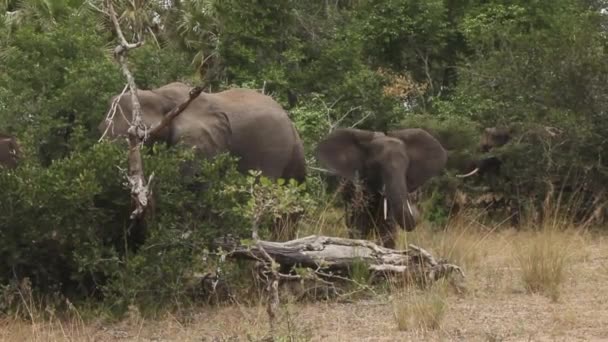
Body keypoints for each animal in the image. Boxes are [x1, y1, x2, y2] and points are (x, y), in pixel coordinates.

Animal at [316, 127, 448, 247]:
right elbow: (360, 228)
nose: (415, 196)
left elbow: (388, 232)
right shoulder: (359, 189)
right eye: (376, 165)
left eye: (407, 166)